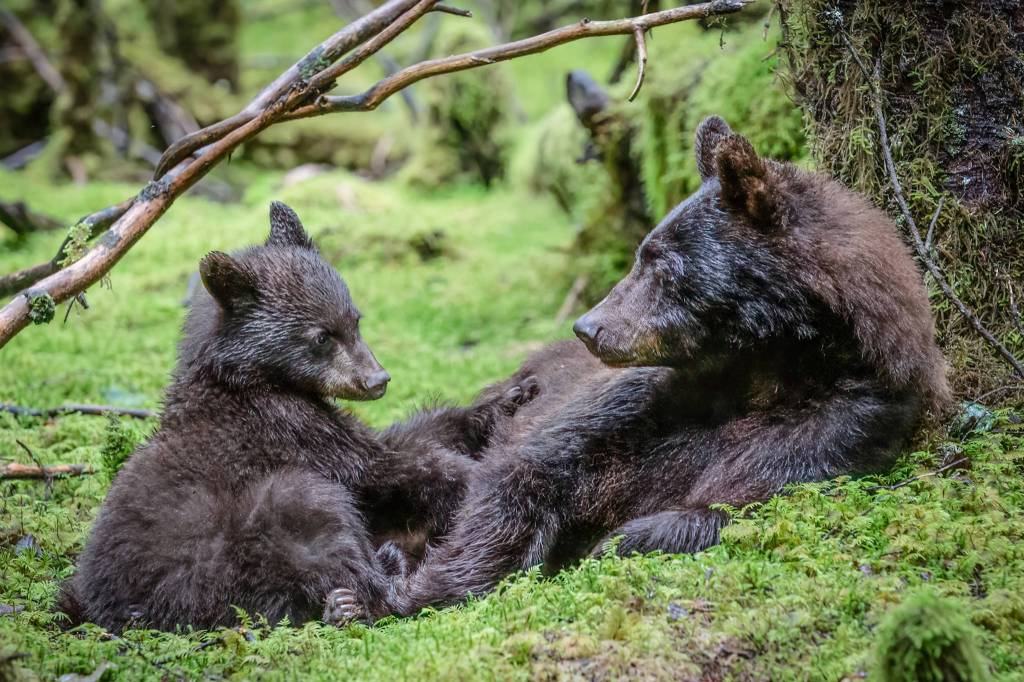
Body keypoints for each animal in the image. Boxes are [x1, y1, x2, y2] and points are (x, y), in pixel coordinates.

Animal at [56, 201, 533, 632]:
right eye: (321, 336)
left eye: (355, 319)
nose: (377, 379)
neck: (251, 380)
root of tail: (101, 611)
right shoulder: (287, 425)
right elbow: (383, 463)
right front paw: (483, 476)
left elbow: (398, 437)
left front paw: (504, 399)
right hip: (237, 551)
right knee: (315, 523)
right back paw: (363, 592)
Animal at [333, 114, 952, 618]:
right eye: (642, 251)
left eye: (660, 263)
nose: (589, 327)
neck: (761, 370)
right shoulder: (646, 398)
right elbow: (530, 470)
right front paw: (407, 587)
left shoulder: (842, 420)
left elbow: (731, 499)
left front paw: (612, 541)